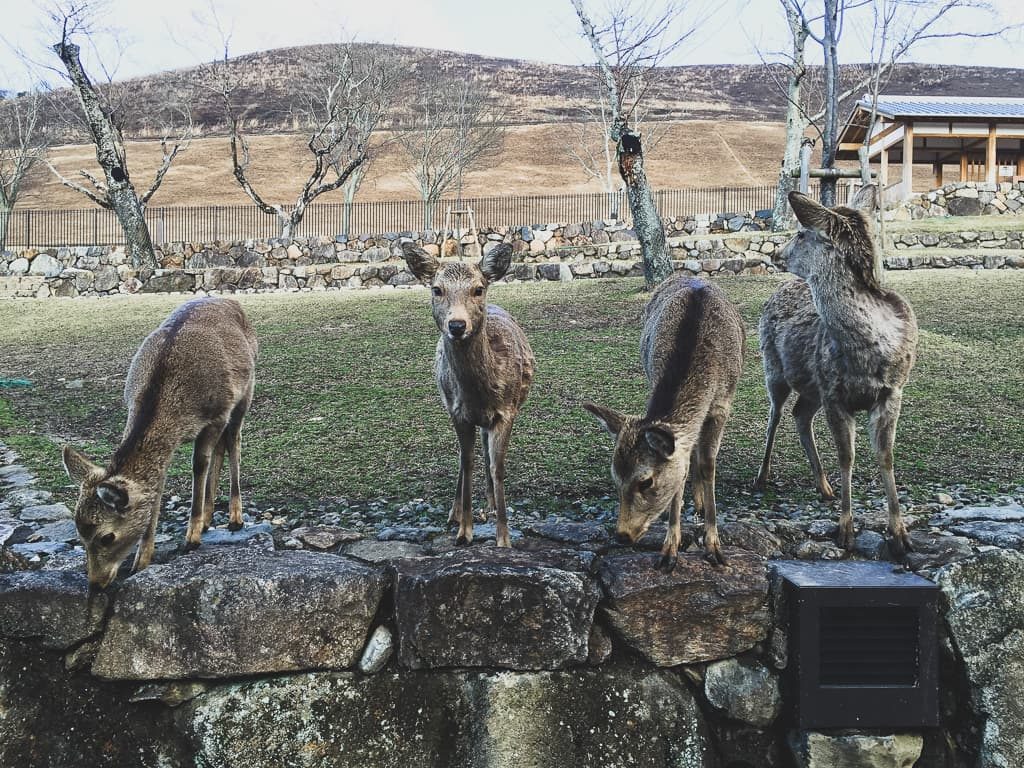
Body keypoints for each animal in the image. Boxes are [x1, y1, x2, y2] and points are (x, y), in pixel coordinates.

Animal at [60, 296, 258, 585]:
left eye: (107, 537)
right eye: (79, 536)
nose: (95, 584)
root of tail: (230, 300)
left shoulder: (217, 413)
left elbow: (199, 465)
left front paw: (191, 538)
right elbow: (158, 485)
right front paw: (142, 561)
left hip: (247, 389)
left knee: (233, 441)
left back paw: (235, 517)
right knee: (221, 448)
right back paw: (209, 517)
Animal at [401, 240, 536, 548]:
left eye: (478, 289)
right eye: (437, 289)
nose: (457, 325)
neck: (482, 395)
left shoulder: (507, 411)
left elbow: (498, 467)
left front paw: (503, 537)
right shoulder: (458, 413)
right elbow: (467, 462)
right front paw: (464, 531)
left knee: (485, 452)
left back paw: (490, 504)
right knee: (466, 459)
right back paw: (455, 513)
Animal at [585, 276, 745, 573]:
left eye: (646, 481)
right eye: (614, 477)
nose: (622, 535)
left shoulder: (722, 406)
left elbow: (708, 464)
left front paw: (714, 546)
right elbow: (682, 470)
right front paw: (669, 550)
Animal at [753, 186, 921, 561]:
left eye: (801, 233)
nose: (775, 254)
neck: (866, 354)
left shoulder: (893, 391)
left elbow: (886, 456)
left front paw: (900, 534)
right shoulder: (834, 393)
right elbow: (847, 456)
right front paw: (845, 531)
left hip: (811, 386)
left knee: (800, 414)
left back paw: (823, 485)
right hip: (774, 368)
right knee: (775, 416)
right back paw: (762, 476)